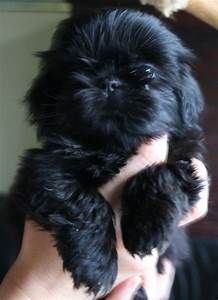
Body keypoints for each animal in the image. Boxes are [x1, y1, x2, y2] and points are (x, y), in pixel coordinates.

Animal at [4, 8, 204, 298]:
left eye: (146, 71)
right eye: (78, 68)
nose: (110, 82)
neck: (112, 146)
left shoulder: (185, 156)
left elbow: (164, 175)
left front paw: (147, 225)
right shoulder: (44, 168)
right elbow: (84, 202)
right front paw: (96, 265)